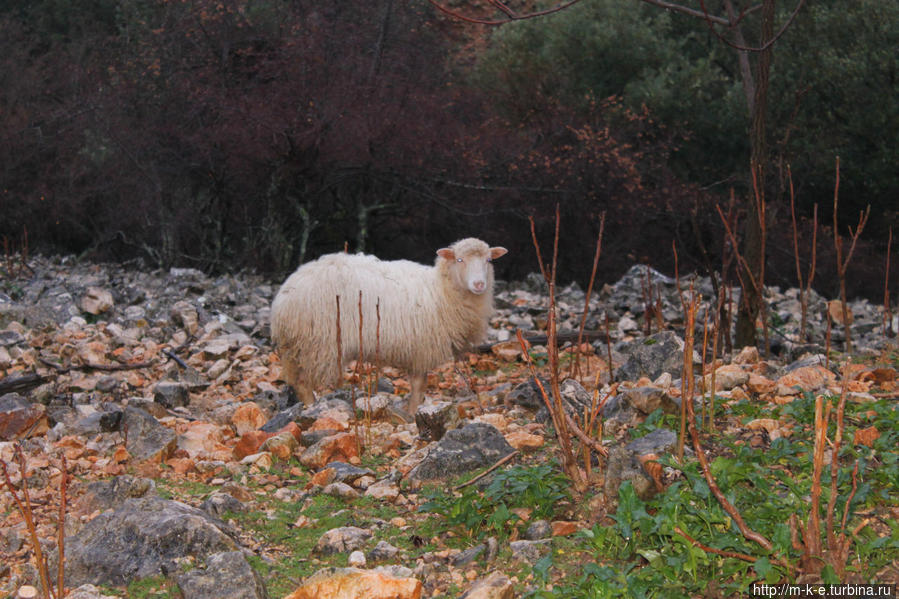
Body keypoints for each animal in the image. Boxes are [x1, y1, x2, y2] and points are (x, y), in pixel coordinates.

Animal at [268, 238, 506, 412]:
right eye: (459, 260)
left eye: (489, 260)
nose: (479, 284)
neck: (441, 290)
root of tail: (284, 295)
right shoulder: (421, 348)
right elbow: (419, 385)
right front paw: (412, 412)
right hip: (318, 343)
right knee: (303, 381)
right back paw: (312, 407)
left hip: (298, 347)